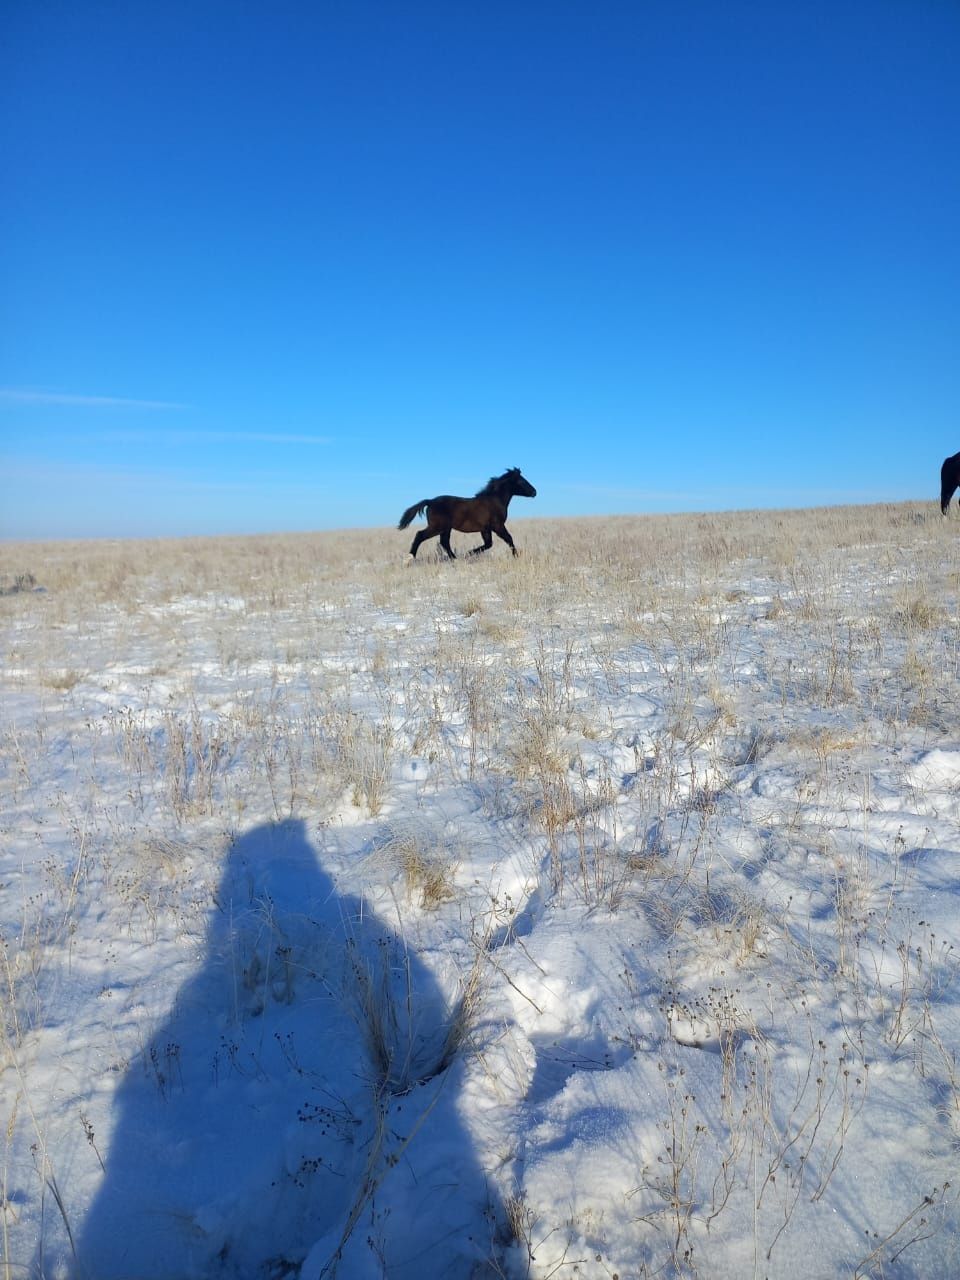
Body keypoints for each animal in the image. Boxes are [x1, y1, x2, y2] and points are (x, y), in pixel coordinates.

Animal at [394, 465, 537, 555]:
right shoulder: (498, 525)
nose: (535, 492)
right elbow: (509, 539)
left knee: (444, 542)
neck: (494, 500)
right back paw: (409, 559)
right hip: (437, 527)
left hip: (446, 528)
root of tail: (430, 501)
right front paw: (516, 555)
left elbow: (488, 544)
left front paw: (469, 553)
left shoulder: (485, 528)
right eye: (522, 481)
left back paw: (455, 559)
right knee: (420, 535)